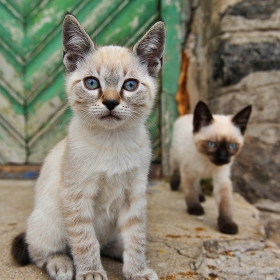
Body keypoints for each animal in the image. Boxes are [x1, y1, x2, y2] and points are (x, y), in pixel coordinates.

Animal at [12, 14, 165, 280]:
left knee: (109, 244)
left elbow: (136, 238)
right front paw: (91, 272)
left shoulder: (134, 195)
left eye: (130, 85)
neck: (113, 142)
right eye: (92, 83)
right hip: (49, 223)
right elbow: (85, 241)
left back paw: (121, 253)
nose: (111, 103)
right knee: (39, 251)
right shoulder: (77, 196)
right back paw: (61, 264)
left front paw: (137, 270)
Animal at [170, 100, 253, 234]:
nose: (222, 158)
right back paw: (174, 185)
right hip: (176, 157)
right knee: (176, 170)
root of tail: (188, 115)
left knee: (198, 182)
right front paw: (195, 208)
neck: (207, 162)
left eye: (232, 146)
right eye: (212, 144)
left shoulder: (222, 179)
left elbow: (225, 204)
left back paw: (201, 196)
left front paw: (227, 224)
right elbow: (190, 191)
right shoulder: (188, 171)